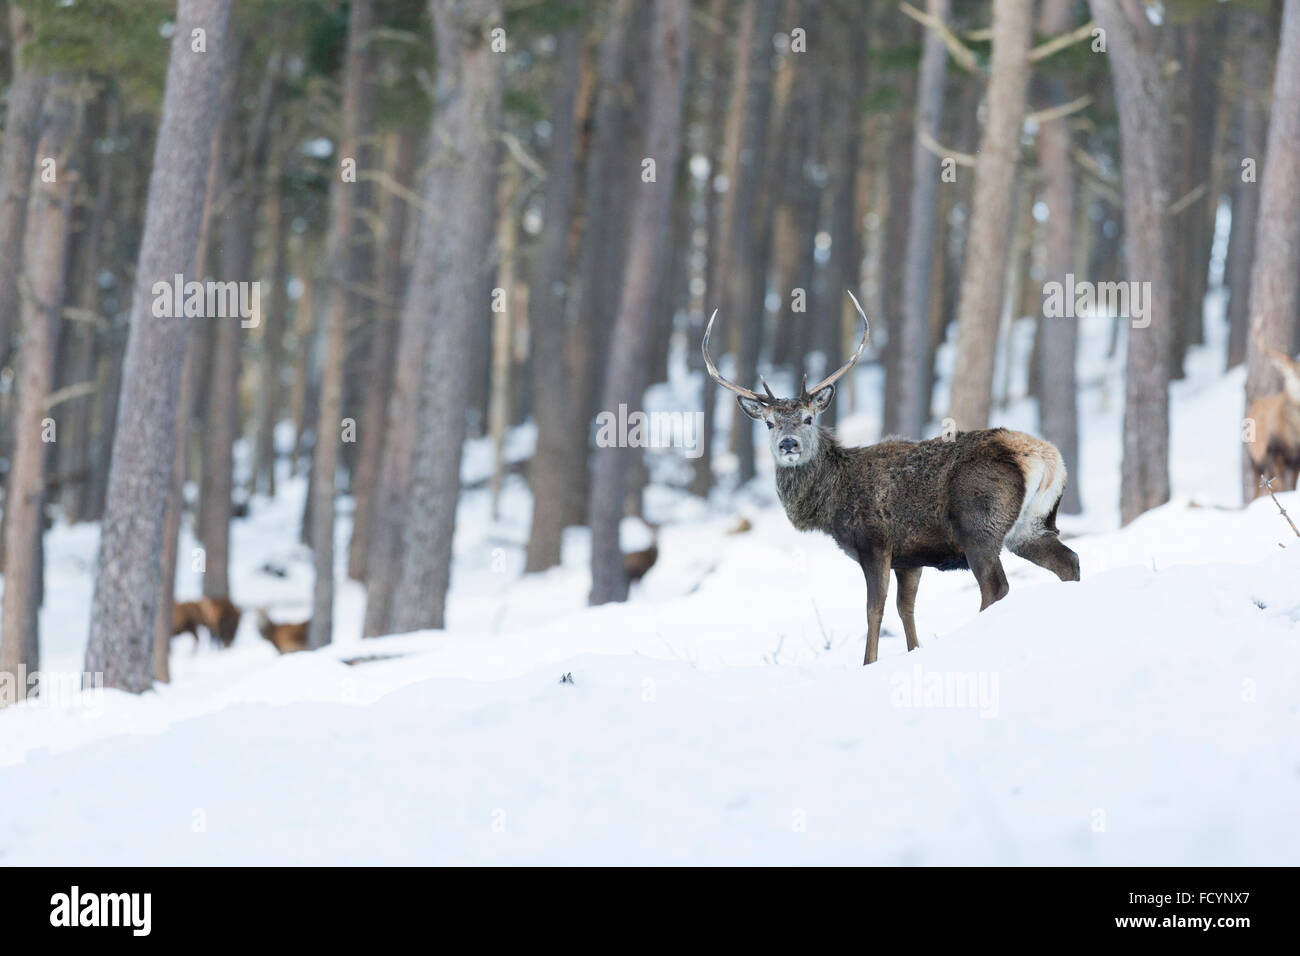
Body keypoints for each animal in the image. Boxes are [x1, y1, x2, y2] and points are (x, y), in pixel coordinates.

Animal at [707, 293, 1081, 665]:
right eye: (769, 423)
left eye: (808, 418)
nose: (788, 444)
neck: (831, 501)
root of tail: (1044, 457)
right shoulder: (910, 557)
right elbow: (906, 609)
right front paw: (913, 650)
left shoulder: (874, 542)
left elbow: (874, 609)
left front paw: (868, 662)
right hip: (1032, 525)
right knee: (1069, 561)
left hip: (979, 524)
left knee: (997, 587)